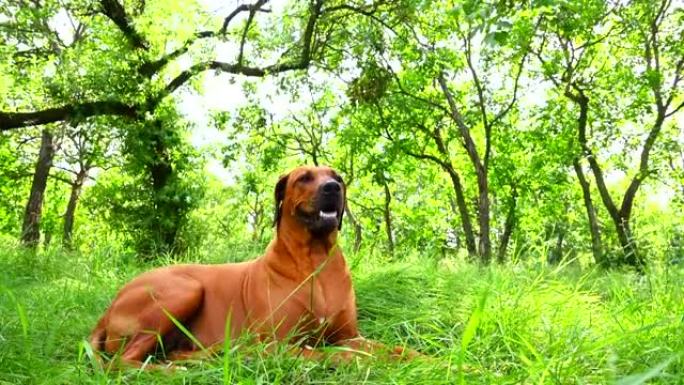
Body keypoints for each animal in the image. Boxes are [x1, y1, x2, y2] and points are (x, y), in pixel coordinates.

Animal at [89, 164, 412, 364]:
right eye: (304, 178)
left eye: (337, 176)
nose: (333, 187)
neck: (314, 262)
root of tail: (108, 309)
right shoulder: (276, 343)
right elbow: (330, 353)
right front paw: (356, 361)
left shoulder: (350, 336)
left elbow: (395, 348)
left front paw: (419, 359)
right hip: (183, 290)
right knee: (122, 362)